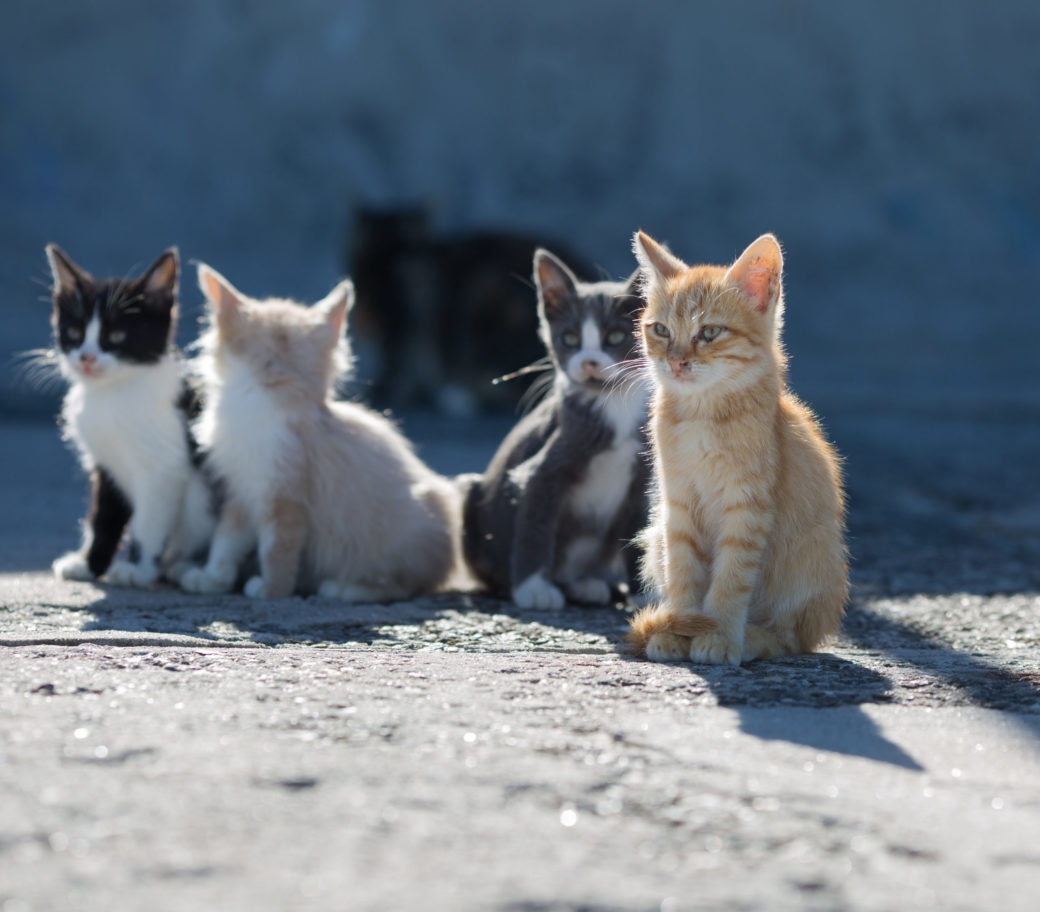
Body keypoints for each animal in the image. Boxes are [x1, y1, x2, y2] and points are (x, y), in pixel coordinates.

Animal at [47, 243, 213, 582]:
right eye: (74, 332)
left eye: (116, 337)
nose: (86, 357)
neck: (112, 394)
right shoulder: (106, 466)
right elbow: (104, 517)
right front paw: (89, 564)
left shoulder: (164, 467)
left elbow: (148, 521)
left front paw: (139, 569)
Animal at [180, 263, 457, 603]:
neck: (270, 395)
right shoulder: (242, 489)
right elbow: (227, 536)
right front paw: (213, 576)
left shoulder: (285, 496)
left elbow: (276, 547)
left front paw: (272, 589)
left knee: (407, 585)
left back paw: (346, 588)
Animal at [463, 245, 648, 607]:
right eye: (570, 339)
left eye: (615, 337)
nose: (589, 362)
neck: (612, 406)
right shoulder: (545, 467)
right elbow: (536, 523)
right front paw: (533, 589)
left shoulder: (641, 479)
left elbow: (638, 531)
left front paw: (647, 595)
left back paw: (586, 584)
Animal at [624, 230, 844, 665]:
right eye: (660, 330)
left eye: (709, 332)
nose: (676, 362)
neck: (702, 413)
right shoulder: (676, 505)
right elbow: (682, 572)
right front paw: (678, 627)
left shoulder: (748, 507)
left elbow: (731, 578)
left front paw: (720, 634)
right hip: (655, 535)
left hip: (814, 553)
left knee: (793, 638)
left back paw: (753, 638)